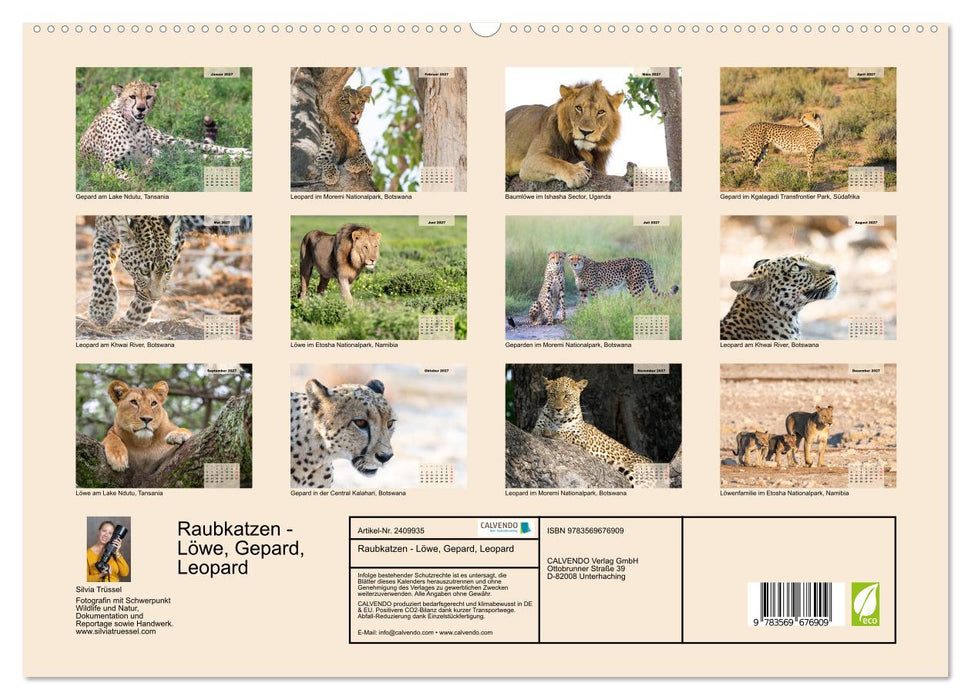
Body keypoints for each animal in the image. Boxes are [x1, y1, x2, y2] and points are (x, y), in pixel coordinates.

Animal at [79, 81, 252, 181]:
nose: (141, 109)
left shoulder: (145, 158)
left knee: (209, 147)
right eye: (132, 96)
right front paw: (139, 181)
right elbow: (127, 174)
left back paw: (244, 152)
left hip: (170, 141)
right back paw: (240, 158)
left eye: (148, 97)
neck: (133, 125)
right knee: (203, 157)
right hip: (174, 153)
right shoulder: (106, 166)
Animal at [87, 215, 253, 330]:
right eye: (144, 271)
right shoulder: (103, 232)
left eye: (167, 270)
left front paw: (131, 321)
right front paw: (101, 309)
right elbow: (100, 266)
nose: (156, 298)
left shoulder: (178, 236)